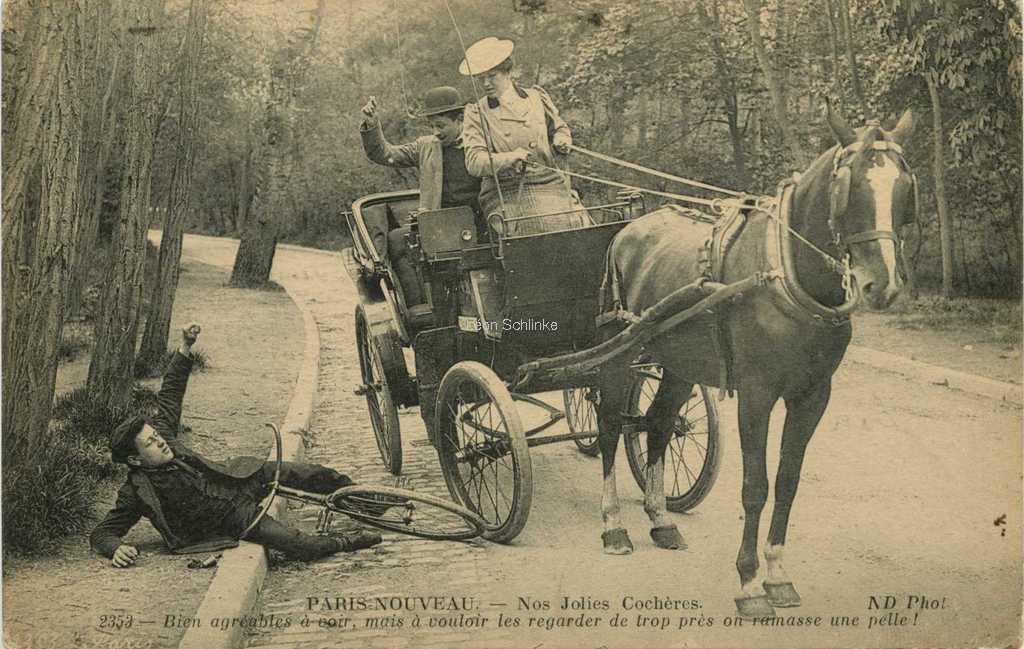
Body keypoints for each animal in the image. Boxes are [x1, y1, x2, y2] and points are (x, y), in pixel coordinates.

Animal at [593, 107, 921, 618]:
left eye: (904, 189)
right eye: (850, 189)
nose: (882, 285)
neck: (787, 275)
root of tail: (627, 230)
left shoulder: (812, 396)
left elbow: (787, 481)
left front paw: (778, 574)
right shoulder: (757, 395)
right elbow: (755, 486)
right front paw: (748, 583)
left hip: (680, 363)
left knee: (659, 424)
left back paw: (660, 519)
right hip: (619, 353)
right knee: (610, 427)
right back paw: (613, 526)